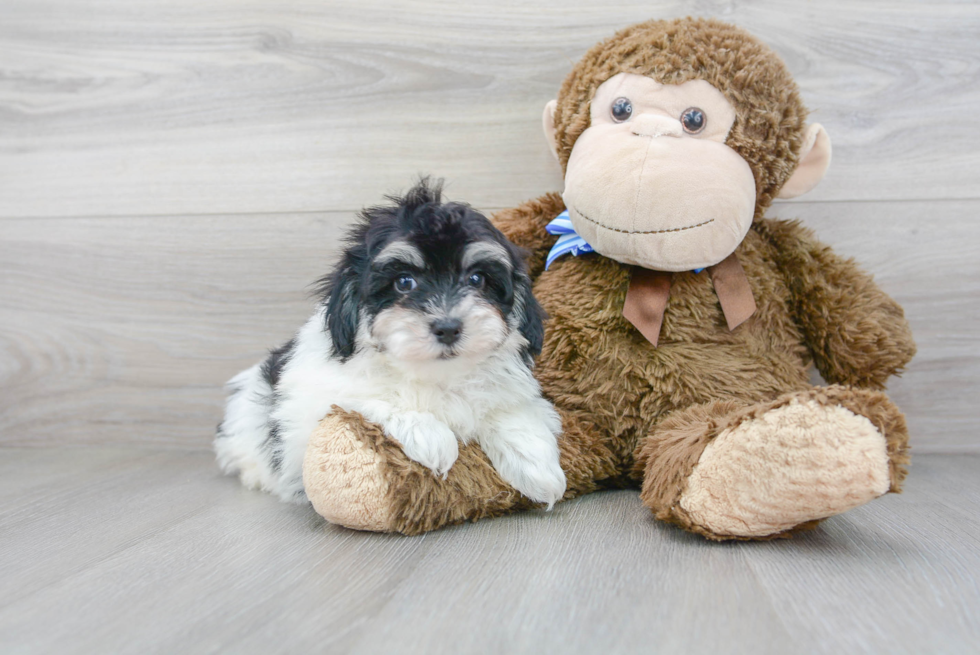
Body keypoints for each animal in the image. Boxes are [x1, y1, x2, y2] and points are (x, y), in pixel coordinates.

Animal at [214, 179, 568, 508]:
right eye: (403, 282)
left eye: (477, 279)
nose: (448, 327)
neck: (435, 374)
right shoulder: (313, 400)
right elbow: (369, 398)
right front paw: (433, 438)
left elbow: (510, 410)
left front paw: (538, 467)